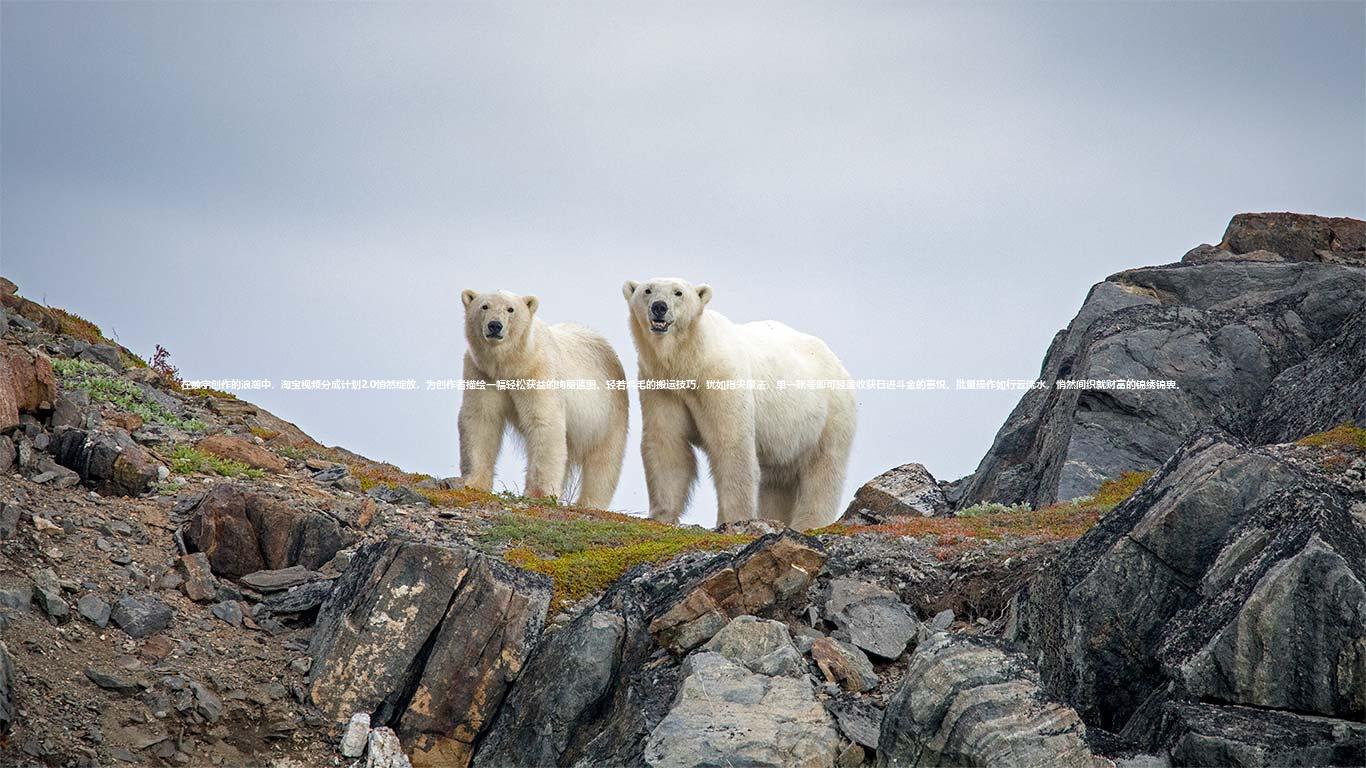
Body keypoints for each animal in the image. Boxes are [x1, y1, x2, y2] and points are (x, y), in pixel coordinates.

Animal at [458, 288, 628, 508]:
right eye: (484, 306)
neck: (511, 364)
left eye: (510, 309)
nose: (495, 325)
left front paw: (538, 493)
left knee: (604, 460)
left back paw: (589, 503)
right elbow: (481, 420)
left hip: (608, 412)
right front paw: (473, 482)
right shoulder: (482, 372)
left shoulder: (538, 371)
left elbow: (544, 423)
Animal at [625, 277, 852, 530]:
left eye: (678, 292)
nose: (659, 307)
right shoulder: (663, 387)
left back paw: (808, 523)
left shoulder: (721, 378)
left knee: (823, 470)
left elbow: (732, 444)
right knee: (777, 482)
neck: (691, 360)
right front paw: (661, 515)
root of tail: (838, 363)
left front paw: (735, 519)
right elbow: (667, 442)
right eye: (647, 290)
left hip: (829, 416)